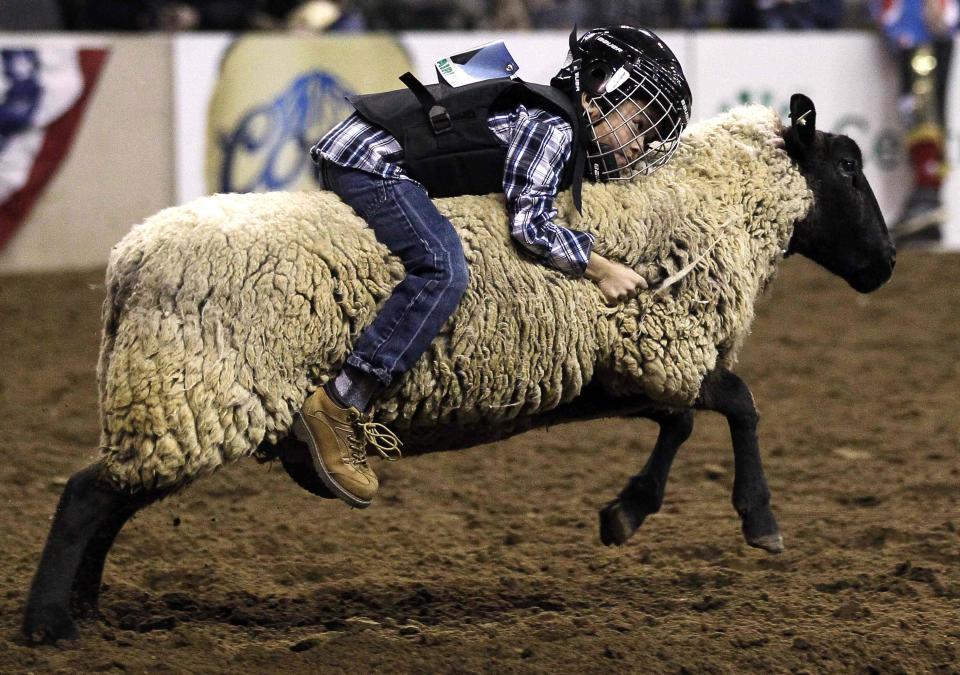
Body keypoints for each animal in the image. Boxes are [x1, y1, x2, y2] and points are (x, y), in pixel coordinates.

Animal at [20, 95, 892, 644]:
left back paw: (86, 609)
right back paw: (48, 625)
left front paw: (626, 512)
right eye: (850, 168)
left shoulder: (621, 369)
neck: (715, 207)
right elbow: (740, 401)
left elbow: (684, 419)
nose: (885, 264)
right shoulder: (658, 345)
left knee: (112, 499)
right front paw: (758, 520)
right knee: (87, 496)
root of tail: (127, 261)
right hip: (194, 390)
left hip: (176, 395)